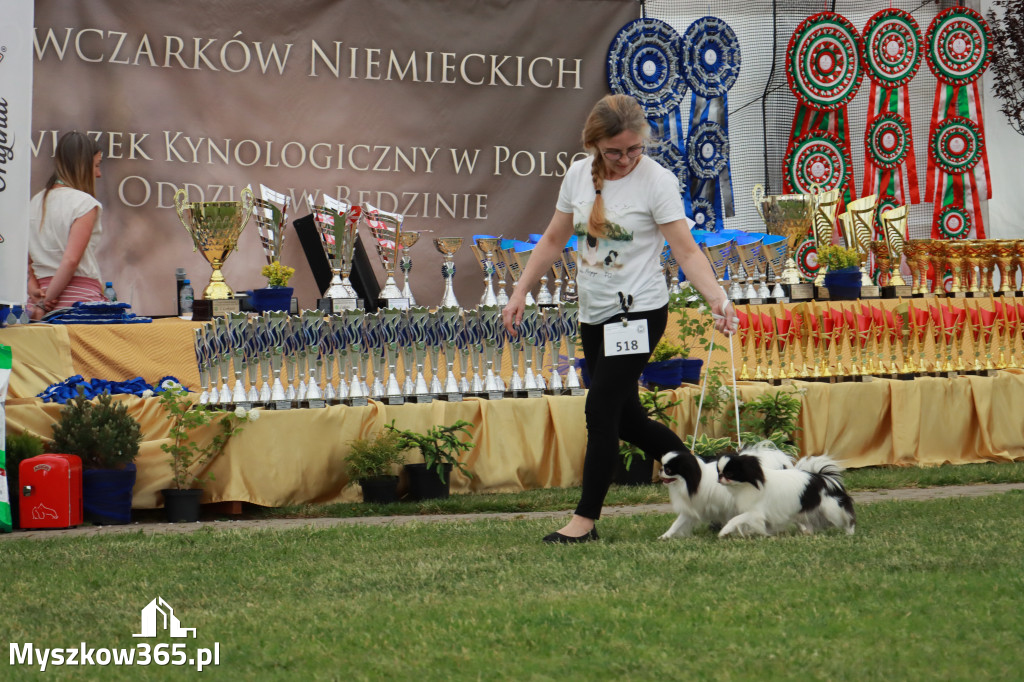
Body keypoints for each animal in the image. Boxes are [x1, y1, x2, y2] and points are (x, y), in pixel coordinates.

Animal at [716, 446, 860, 536]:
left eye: (729, 473)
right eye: (719, 472)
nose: (720, 478)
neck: (748, 484)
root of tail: (826, 478)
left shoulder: (755, 512)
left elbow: (736, 519)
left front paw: (724, 531)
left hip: (831, 510)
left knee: (849, 519)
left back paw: (849, 534)